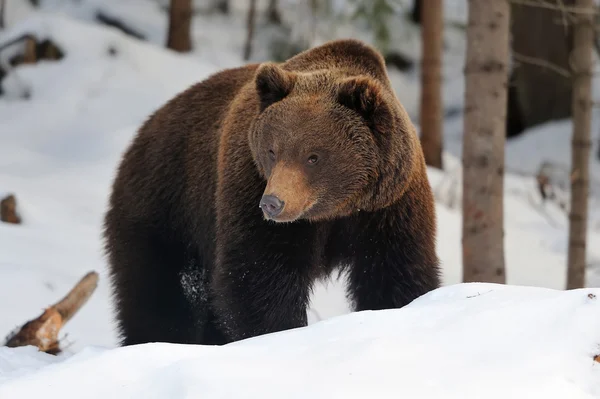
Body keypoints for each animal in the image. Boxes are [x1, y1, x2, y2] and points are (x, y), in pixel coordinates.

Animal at [104, 39, 440, 348]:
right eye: (272, 150)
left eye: (313, 156)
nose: (272, 204)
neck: (337, 210)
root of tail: (142, 132)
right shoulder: (249, 188)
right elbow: (258, 276)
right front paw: (279, 331)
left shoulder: (389, 208)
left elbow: (394, 273)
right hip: (167, 206)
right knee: (160, 291)